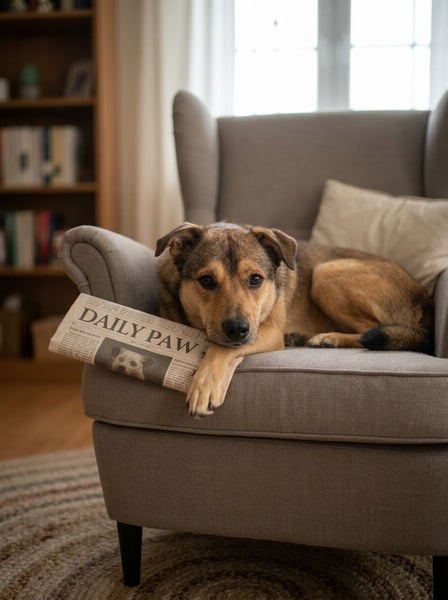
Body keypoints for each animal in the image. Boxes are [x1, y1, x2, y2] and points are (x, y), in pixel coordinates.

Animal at [156, 222, 433, 417]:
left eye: (255, 279)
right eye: (206, 280)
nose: (237, 329)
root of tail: (424, 296)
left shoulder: (267, 330)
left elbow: (221, 348)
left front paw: (204, 386)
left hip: (326, 272)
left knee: (375, 329)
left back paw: (329, 338)